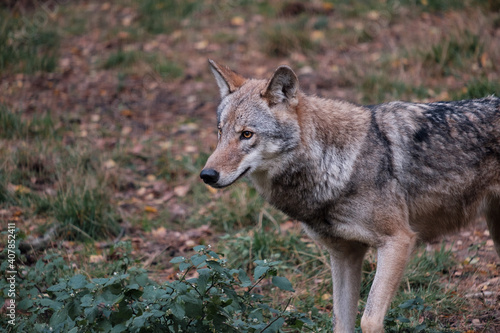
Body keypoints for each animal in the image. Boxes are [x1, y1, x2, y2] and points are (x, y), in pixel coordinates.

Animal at [199, 60, 500, 332]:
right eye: (220, 132)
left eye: (246, 134)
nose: (207, 175)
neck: (336, 165)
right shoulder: (345, 253)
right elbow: (341, 323)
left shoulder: (398, 241)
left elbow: (369, 320)